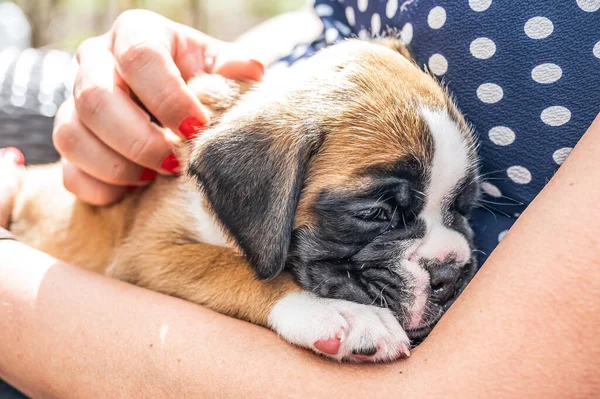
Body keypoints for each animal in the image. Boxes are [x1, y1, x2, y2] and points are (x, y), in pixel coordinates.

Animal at [8, 39, 478, 364]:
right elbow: (231, 267)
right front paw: (337, 313)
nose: (451, 274)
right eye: (376, 214)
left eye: (463, 207)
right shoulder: (147, 255)